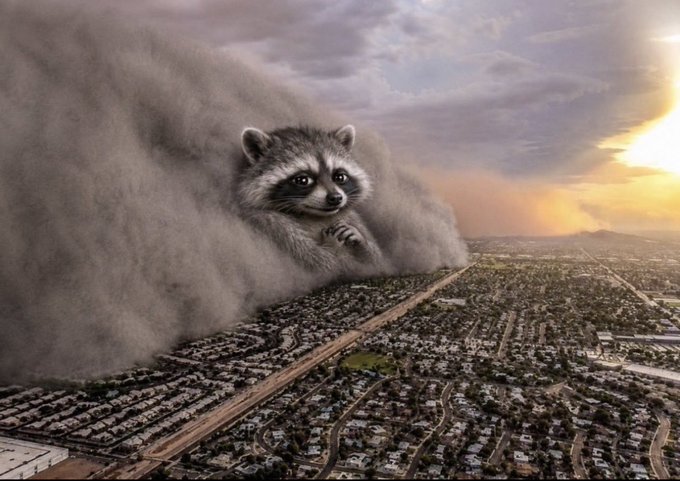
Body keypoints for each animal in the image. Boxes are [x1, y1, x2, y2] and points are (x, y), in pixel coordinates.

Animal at [237, 124, 383, 272]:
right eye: (303, 180)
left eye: (340, 177)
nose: (336, 198)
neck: (312, 216)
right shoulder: (272, 224)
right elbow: (323, 262)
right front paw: (332, 246)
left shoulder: (352, 219)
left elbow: (376, 260)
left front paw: (362, 242)